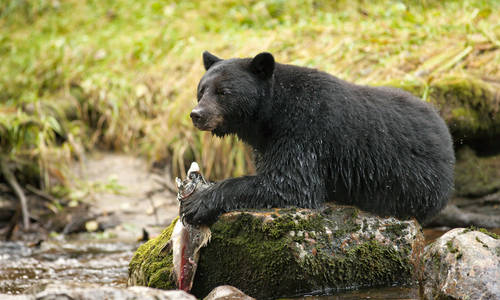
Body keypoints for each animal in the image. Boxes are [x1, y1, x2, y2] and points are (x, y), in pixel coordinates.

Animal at [182, 51, 456, 225]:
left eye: (223, 92)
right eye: (201, 90)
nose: (197, 115)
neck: (272, 114)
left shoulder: (305, 131)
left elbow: (291, 183)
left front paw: (197, 203)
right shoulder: (268, 143)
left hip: (415, 181)